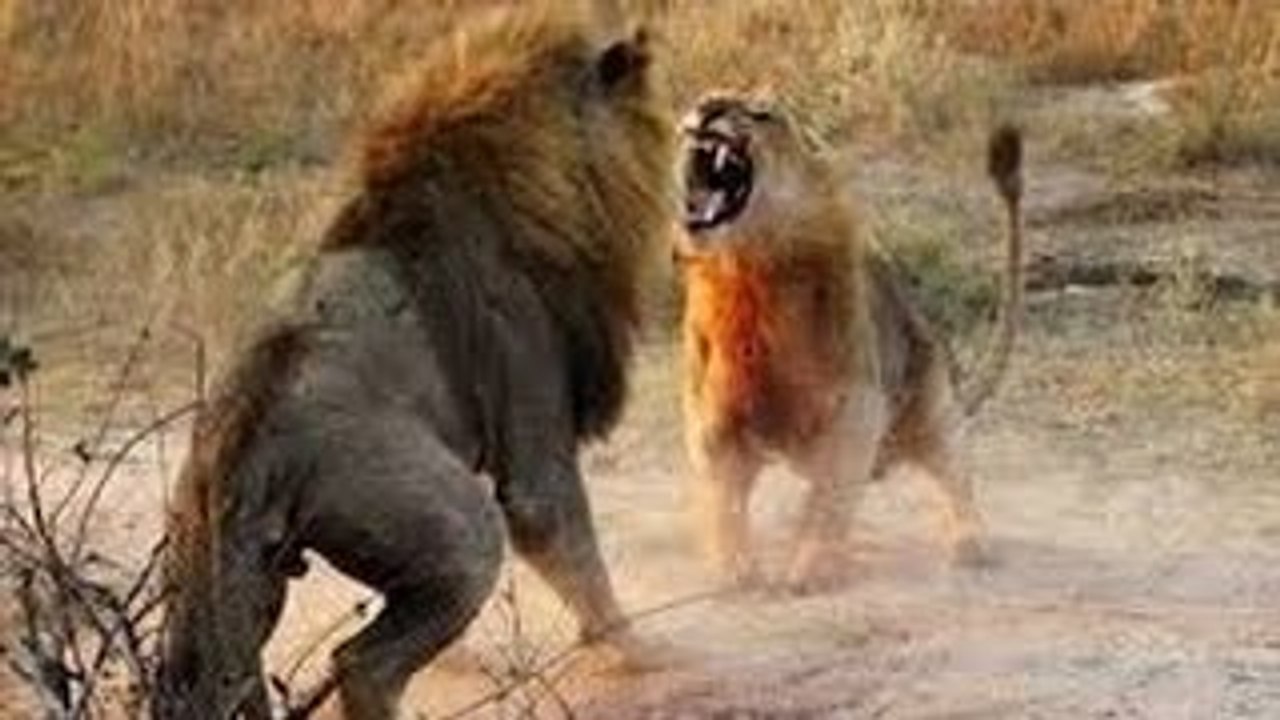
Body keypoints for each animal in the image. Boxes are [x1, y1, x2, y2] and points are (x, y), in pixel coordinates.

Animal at [155, 5, 675, 719]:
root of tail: (242, 441)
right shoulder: (528, 382)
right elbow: (562, 530)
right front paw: (641, 651)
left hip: (211, 567)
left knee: (201, 676)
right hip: (460, 529)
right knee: (362, 661)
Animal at [676, 93, 1024, 592]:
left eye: (762, 111)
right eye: (712, 94)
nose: (709, 105)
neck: (750, 271)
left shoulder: (856, 408)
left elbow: (833, 501)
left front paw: (812, 569)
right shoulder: (713, 416)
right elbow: (725, 501)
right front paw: (735, 568)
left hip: (932, 405)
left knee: (957, 477)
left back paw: (970, 541)